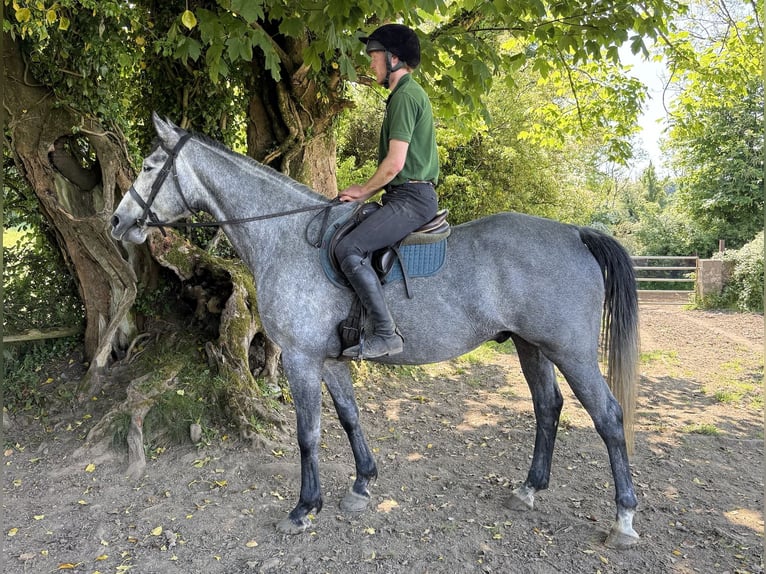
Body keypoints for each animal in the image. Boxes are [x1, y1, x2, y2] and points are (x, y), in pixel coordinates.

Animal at [111, 114, 641, 548]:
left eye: (149, 165)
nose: (117, 221)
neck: (286, 238)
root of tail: (575, 233)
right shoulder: (329, 360)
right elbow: (349, 418)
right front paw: (362, 484)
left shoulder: (301, 360)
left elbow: (308, 433)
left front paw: (304, 508)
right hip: (533, 347)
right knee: (547, 408)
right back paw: (529, 490)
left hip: (570, 351)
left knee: (608, 417)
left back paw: (624, 520)